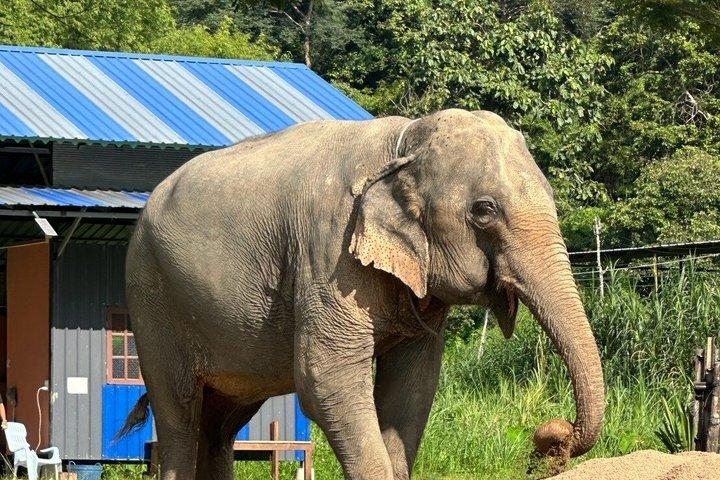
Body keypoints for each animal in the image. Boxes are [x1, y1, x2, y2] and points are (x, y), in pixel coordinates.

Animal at [121, 108, 605, 480]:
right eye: (484, 211)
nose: (551, 439)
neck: (402, 143)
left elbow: (412, 384)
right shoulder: (328, 256)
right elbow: (326, 379)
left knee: (220, 424)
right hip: (151, 299)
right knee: (180, 415)